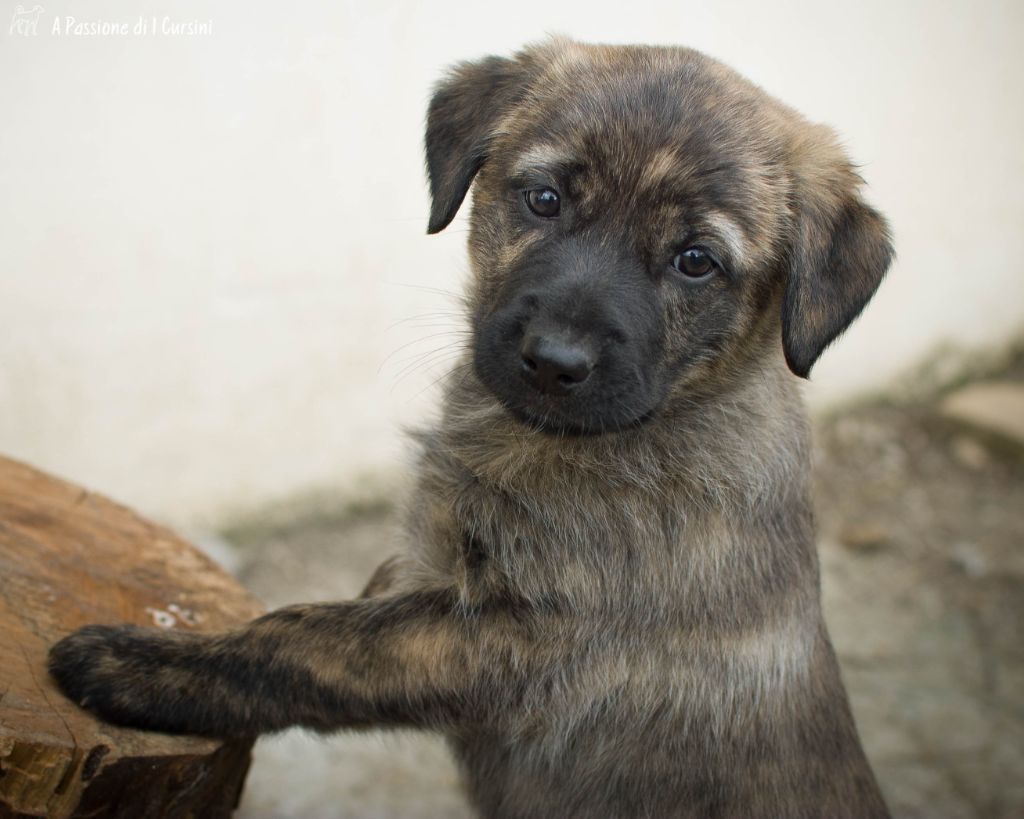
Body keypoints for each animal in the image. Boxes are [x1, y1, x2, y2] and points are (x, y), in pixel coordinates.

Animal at [51, 38, 892, 818]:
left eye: (696, 260)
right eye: (544, 198)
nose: (554, 361)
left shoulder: (516, 637)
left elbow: (305, 635)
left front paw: (137, 665)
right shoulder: (433, 575)